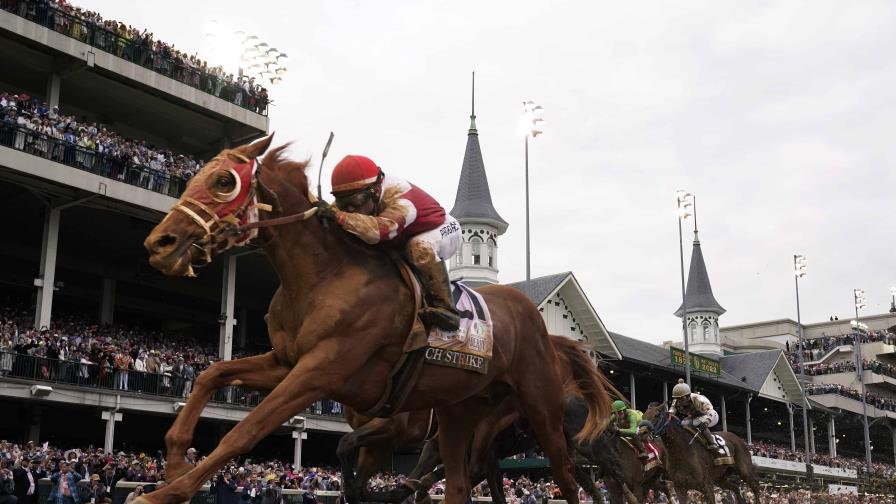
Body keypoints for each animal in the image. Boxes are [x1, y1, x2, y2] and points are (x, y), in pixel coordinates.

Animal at [140, 137, 612, 504]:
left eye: (224, 182)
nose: (159, 242)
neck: (325, 276)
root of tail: (539, 322)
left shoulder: (322, 372)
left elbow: (246, 430)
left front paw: (166, 491)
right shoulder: (287, 361)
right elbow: (213, 373)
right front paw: (176, 460)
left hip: (541, 410)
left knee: (568, 478)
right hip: (461, 413)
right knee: (460, 483)